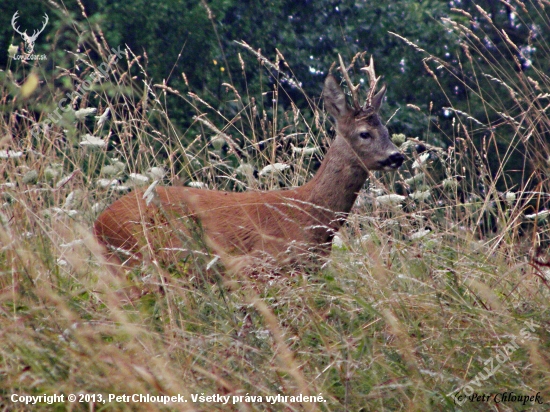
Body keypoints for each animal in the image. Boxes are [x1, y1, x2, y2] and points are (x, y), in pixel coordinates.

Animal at [95, 54, 406, 274]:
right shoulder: (259, 263)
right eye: (364, 133)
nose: (397, 156)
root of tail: (99, 223)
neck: (311, 217)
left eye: (387, 130)